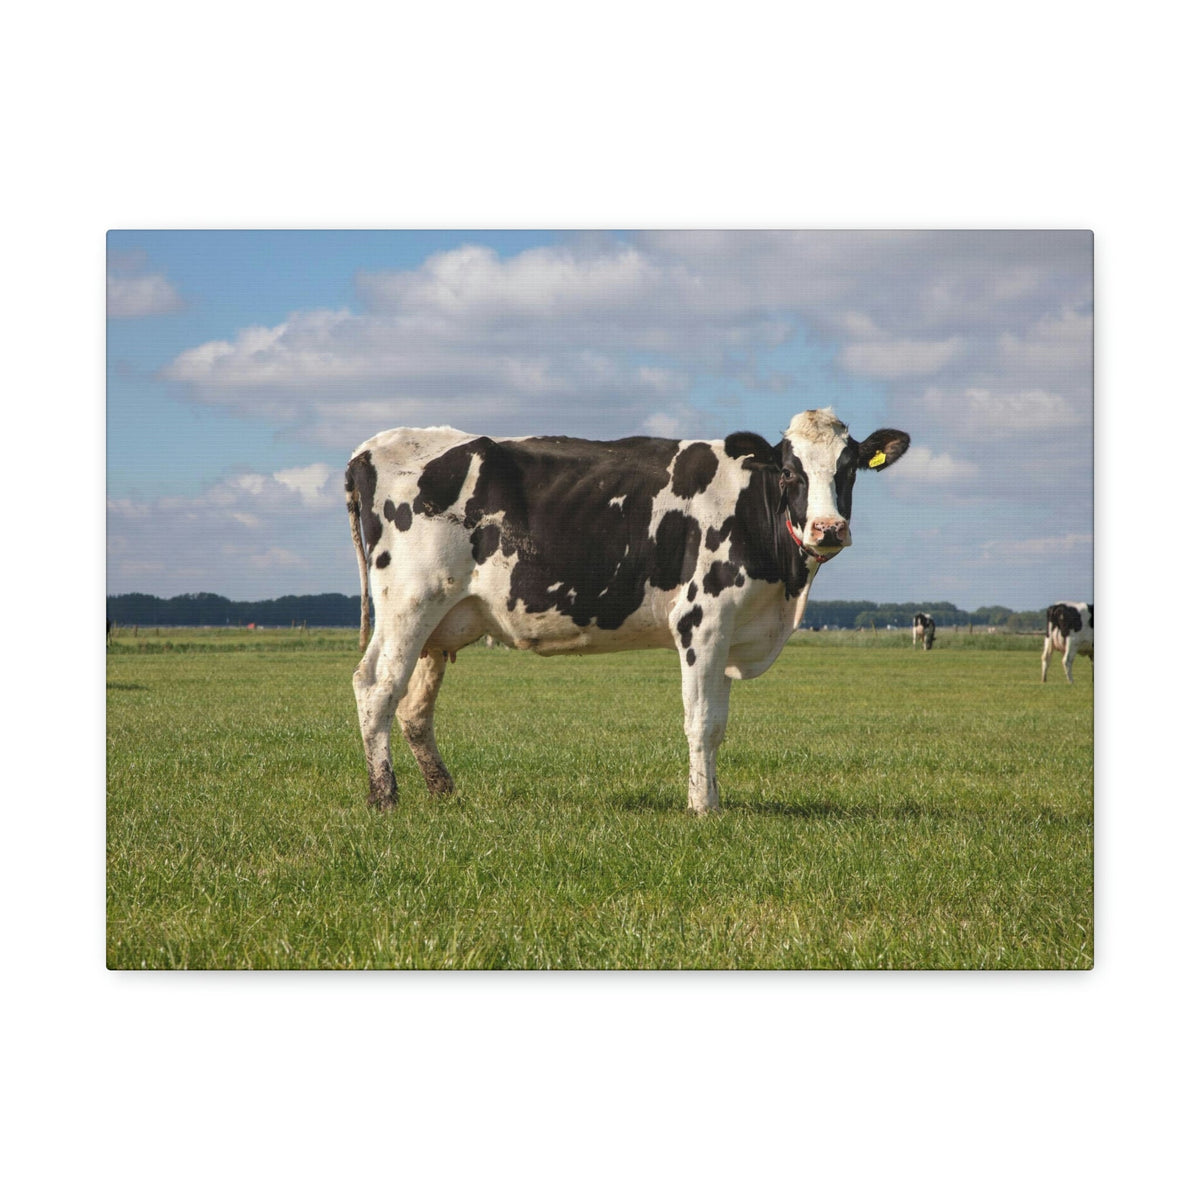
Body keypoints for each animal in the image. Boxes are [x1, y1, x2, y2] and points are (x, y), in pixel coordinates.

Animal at [345, 408, 910, 813]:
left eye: (849, 469)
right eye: (790, 472)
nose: (828, 528)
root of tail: (372, 448)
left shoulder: (730, 629)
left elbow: (720, 723)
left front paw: (713, 798)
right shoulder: (701, 620)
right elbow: (702, 721)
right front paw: (703, 807)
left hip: (439, 623)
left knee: (415, 708)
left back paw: (443, 791)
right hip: (409, 602)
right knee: (376, 686)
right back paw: (384, 797)